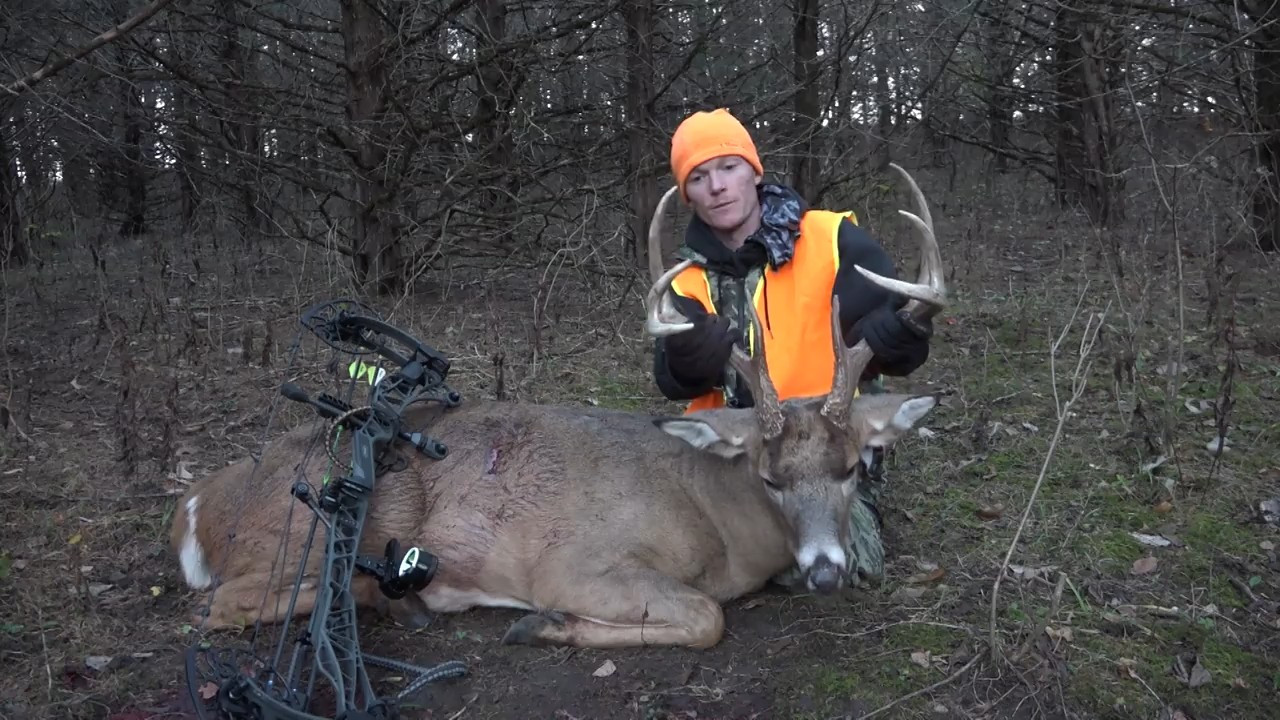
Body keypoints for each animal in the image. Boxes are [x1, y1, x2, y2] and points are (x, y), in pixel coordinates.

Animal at [169, 163, 947, 650]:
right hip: (316, 528)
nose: (825, 571)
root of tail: (196, 507)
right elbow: (705, 617)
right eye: (768, 475)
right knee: (221, 604)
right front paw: (541, 625)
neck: (711, 514)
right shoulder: (573, 562)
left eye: (853, 468)